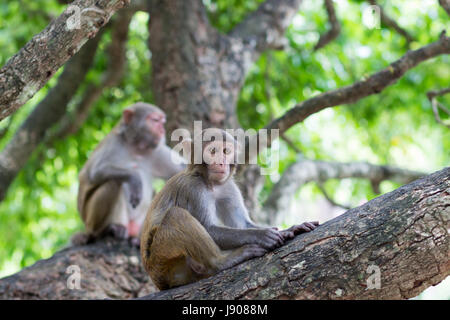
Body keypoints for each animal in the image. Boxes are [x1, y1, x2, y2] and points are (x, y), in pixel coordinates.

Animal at [74, 101, 185, 246]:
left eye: (162, 122)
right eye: (155, 120)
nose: (162, 130)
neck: (136, 147)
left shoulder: (157, 150)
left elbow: (181, 171)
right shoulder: (114, 143)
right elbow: (96, 172)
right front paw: (134, 179)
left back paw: (138, 239)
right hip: (90, 221)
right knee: (113, 183)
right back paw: (107, 229)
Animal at [139, 128, 318, 290]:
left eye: (226, 151)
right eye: (212, 151)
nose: (221, 162)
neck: (211, 183)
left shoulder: (228, 187)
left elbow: (243, 224)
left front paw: (289, 229)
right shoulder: (193, 189)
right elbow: (208, 228)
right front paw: (262, 235)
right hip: (161, 260)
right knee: (176, 215)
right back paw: (221, 262)